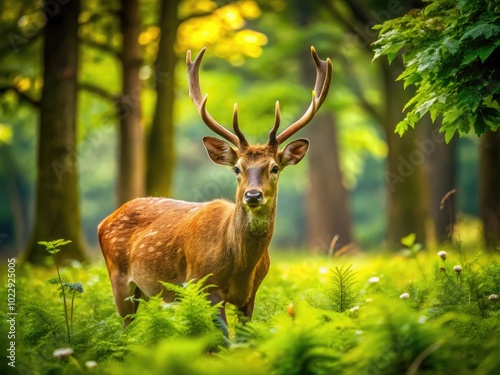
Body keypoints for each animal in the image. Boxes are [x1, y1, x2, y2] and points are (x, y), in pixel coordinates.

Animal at [97, 46, 332, 328]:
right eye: (237, 168)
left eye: (275, 167)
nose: (253, 195)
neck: (241, 267)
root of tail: (104, 221)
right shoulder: (204, 287)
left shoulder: (250, 296)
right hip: (119, 281)